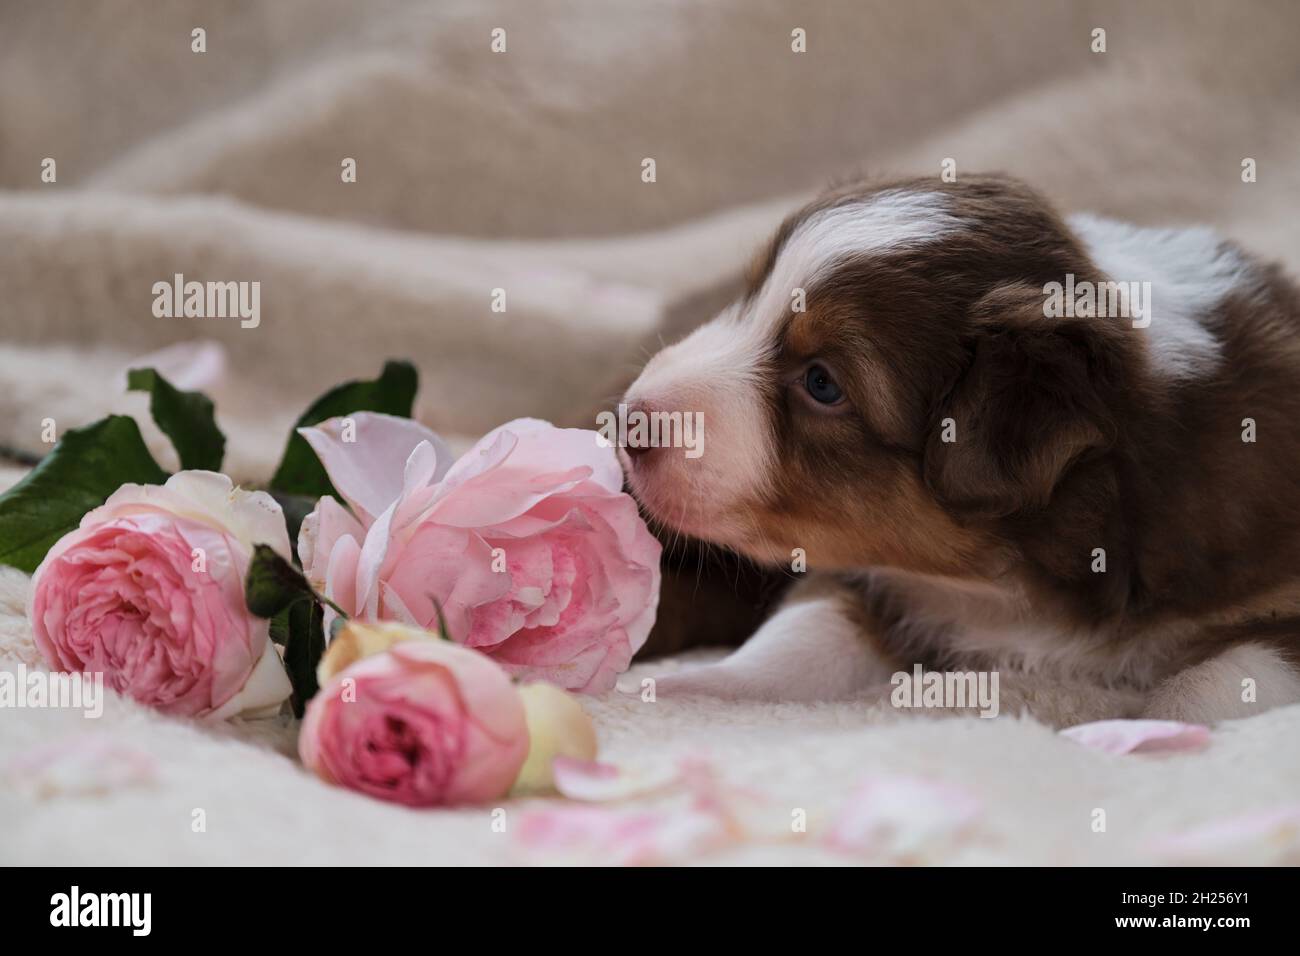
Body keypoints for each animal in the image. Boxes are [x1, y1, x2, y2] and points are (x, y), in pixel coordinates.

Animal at [616, 174, 1300, 723]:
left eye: (822, 382)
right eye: (746, 300)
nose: (627, 421)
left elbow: (1218, 679)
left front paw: (1150, 736)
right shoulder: (873, 578)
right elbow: (799, 635)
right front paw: (687, 687)